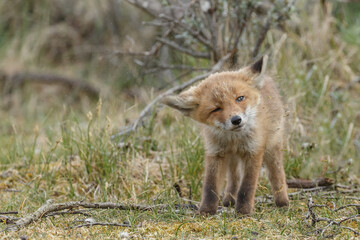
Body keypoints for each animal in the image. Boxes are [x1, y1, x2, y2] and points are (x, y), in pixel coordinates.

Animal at [163, 56, 290, 216]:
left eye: (239, 98)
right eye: (216, 109)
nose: (236, 120)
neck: (233, 140)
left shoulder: (253, 151)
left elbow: (247, 187)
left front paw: (244, 212)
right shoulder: (215, 153)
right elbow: (210, 187)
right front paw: (206, 211)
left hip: (272, 148)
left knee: (277, 174)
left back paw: (282, 202)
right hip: (232, 158)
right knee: (233, 178)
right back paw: (229, 201)